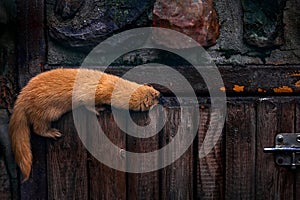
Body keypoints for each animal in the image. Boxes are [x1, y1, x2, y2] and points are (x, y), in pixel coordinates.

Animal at [8, 68, 161, 180]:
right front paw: (98, 109)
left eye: (154, 90)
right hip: (45, 112)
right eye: (154, 97)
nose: (160, 94)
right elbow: (86, 103)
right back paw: (52, 132)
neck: (108, 85)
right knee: (37, 128)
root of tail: (22, 95)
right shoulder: (86, 94)